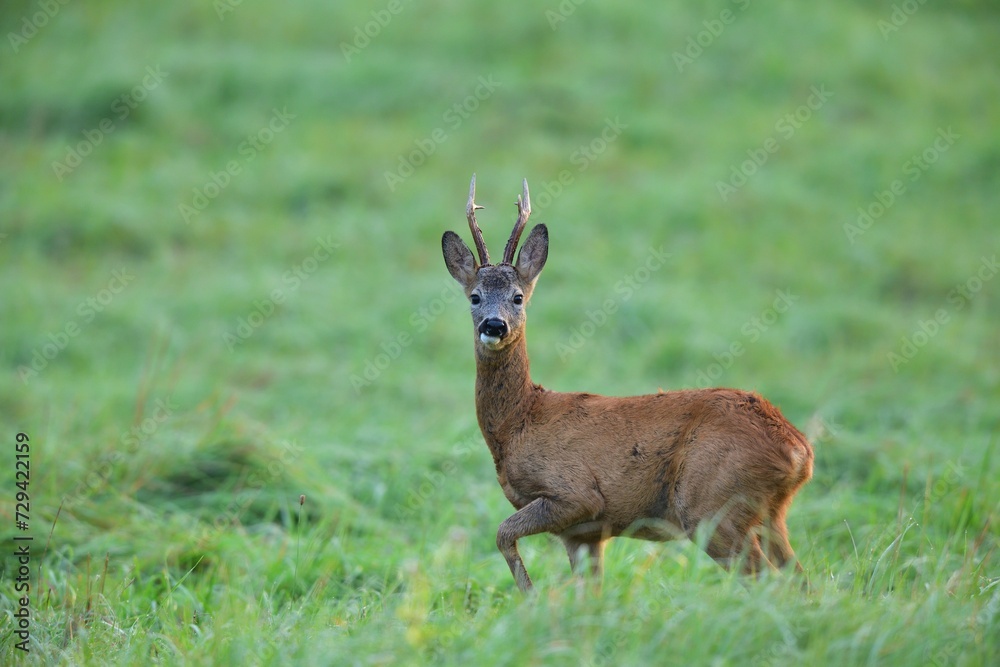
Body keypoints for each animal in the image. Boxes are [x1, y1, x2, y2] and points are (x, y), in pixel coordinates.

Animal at [440, 175, 812, 592]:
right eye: (474, 297)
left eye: (518, 297)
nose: (494, 325)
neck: (518, 423)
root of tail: (798, 450)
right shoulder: (584, 533)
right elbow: (590, 592)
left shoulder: (576, 495)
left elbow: (502, 533)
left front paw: (531, 596)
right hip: (769, 513)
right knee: (801, 580)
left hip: (713, 506)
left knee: (768, 581)